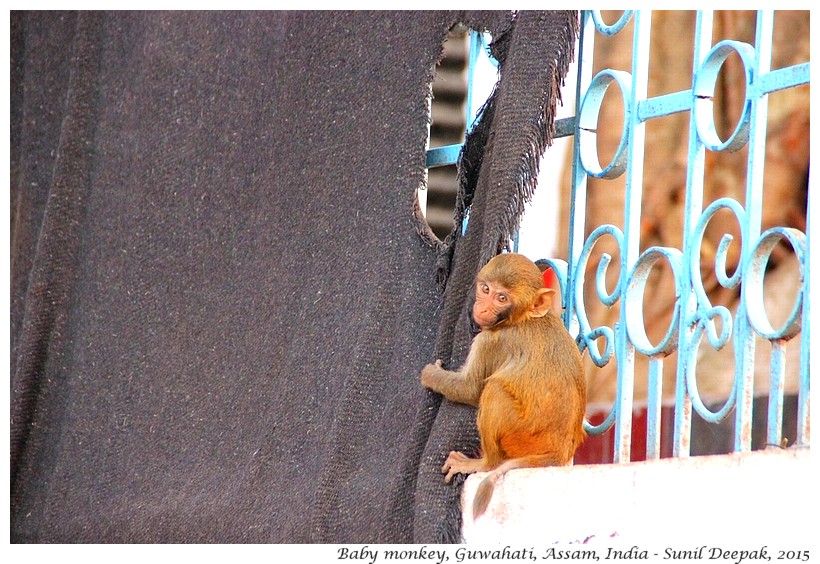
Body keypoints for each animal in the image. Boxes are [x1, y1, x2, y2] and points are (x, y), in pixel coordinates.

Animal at [422, 253, 584, 516]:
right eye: (486, 289)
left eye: (501, 298)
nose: (483, 308)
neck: (523, 317)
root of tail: (560, 452)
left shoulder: (490, 341)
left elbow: (470, 390)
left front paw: (430, 374)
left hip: (521, 437)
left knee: (494, 391)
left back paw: (485, 463)